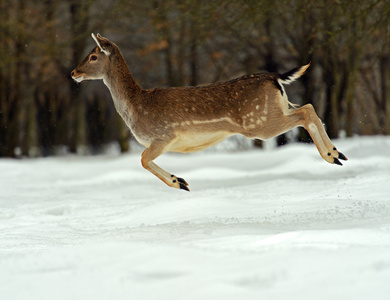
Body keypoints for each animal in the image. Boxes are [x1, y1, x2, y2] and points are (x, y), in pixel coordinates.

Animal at [70, 33, 348, 192]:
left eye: (93, 56)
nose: (74, 72)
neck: (136, 107)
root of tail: (275, 77)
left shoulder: (164, 136)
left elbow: (143, 159)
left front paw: (180, 182)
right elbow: (143, 160)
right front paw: (181, 181)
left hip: (258, 122)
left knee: (306, 113)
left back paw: (332, 155)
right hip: (277, 108)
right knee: (308, 107)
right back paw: (337, 155)